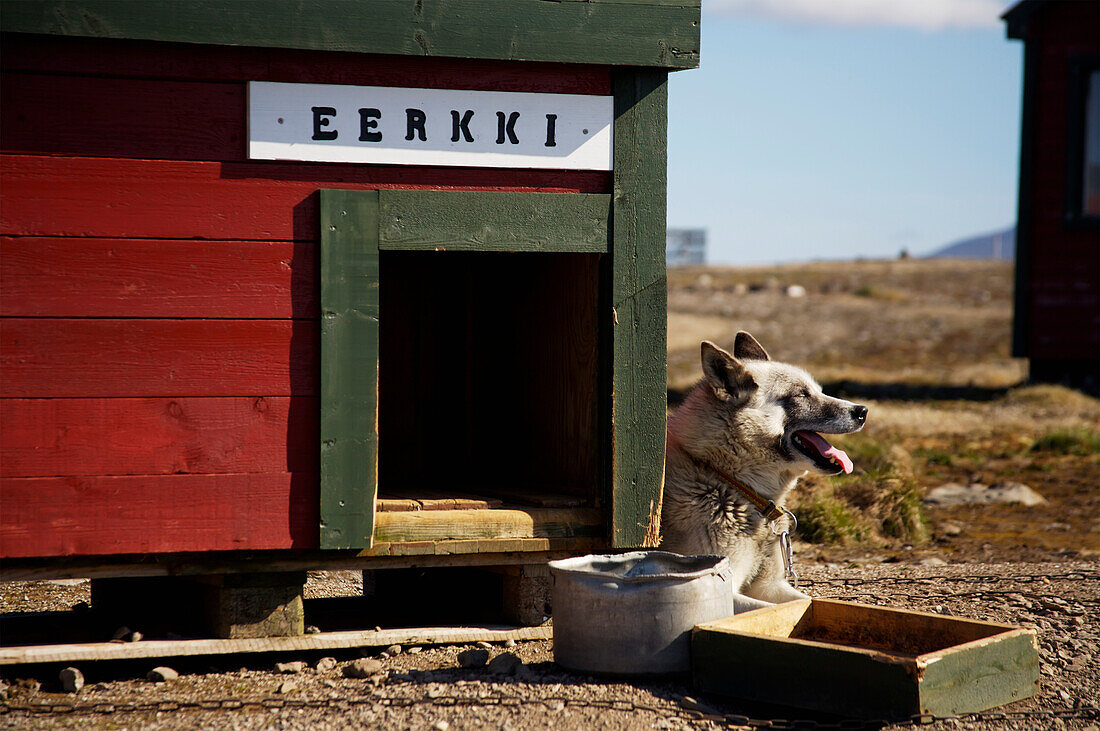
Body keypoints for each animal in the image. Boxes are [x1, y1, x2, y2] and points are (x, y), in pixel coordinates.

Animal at [660, 331, 866, 611]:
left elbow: (807, 601)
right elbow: (775, 610)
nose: (863, 411)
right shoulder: (726, 588)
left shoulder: (770, 585)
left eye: (819, 391)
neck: (728, 483)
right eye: (801, 395)